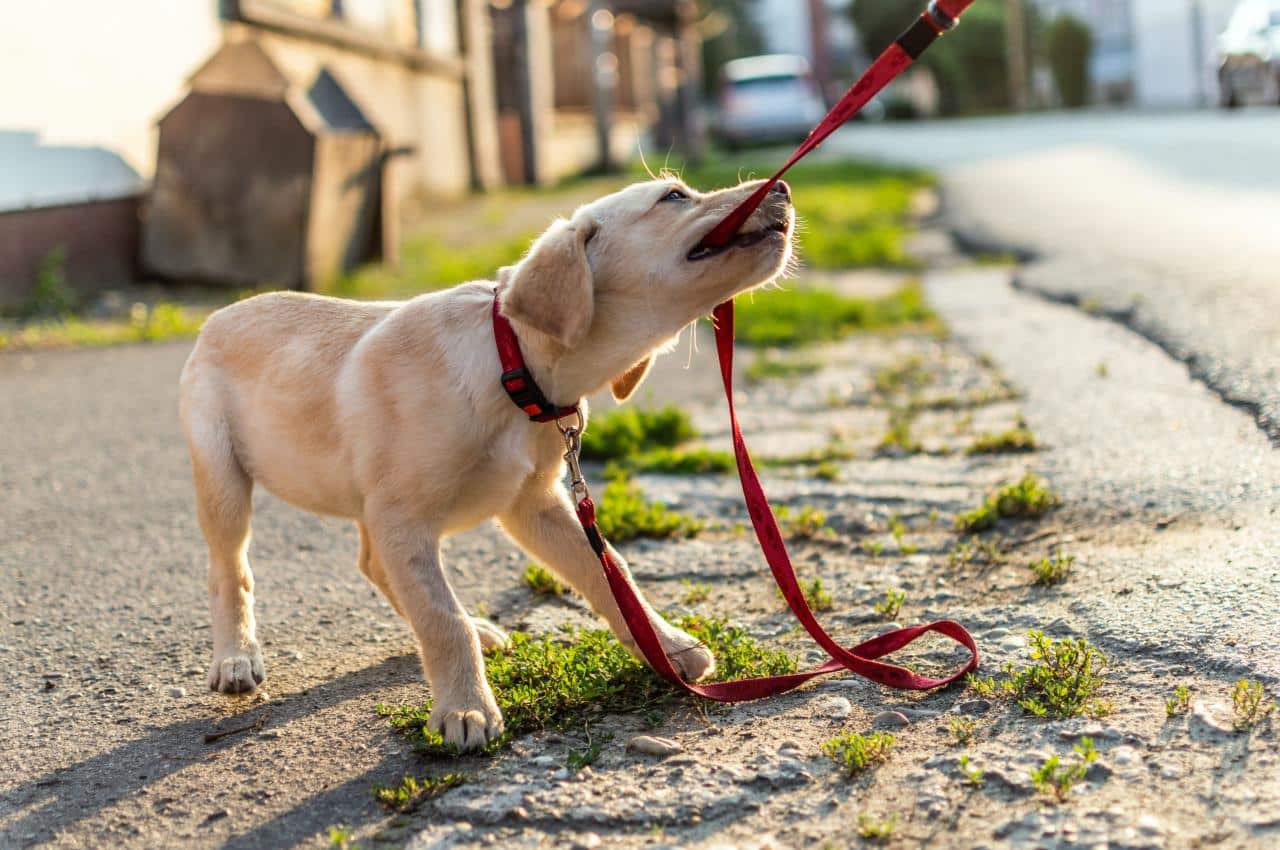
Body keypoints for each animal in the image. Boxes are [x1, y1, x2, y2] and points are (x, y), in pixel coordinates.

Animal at [179, 175, 788, 747]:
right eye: (674, 197)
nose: (781, 186)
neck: (510, 365)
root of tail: (218, 316)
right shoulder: (404, 517)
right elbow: (442, 619)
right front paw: (465, 710)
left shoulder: (533, 503)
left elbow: (608, 572)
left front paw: (665, 645)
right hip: (225, 480)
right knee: (229, 570)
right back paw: (236, 658)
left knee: (375, 566)